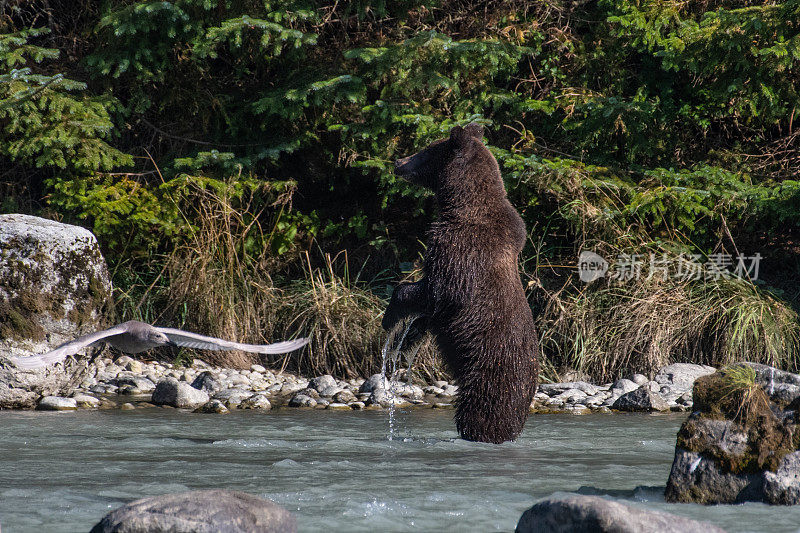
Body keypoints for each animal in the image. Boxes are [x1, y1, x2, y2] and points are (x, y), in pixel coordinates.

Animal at [382, 122, 536, 442]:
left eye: (427, 149)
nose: (398, 161)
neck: (461, 205)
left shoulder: (463, 249)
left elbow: (438, 291)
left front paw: (390, 318)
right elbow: (429, 310)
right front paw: (407, 340)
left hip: (489, 381)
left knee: (478, 415)